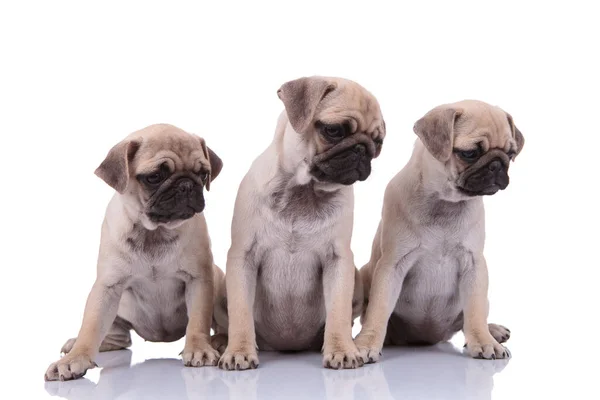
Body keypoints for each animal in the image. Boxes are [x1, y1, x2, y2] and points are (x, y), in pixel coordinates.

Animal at [44, 124, 223, 382]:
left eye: (202, 174)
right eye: (154, 177)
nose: (187, 185)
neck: (154, 231)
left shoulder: (199, 280)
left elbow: (198, 321)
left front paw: (199, 348)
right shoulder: (107, 287)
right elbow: (91, 326)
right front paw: (75, 358)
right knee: (117, 338)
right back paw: (77, 344)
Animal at [213, 76, 386, 370]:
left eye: (379, 142)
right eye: (334, 130)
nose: (363, 149)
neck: (303, 191)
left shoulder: (339, 262)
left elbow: (338, 312)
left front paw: (341, 349)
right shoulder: (242, 258)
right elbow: (240, 313)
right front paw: (238, 351)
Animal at [356, 101, 524, 362]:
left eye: (510, 153)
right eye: (469, 153)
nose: (498, 164)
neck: (445, 202)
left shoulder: (474, 266)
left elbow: (475, 311)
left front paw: (484, 341)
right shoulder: (391, 266)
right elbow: (378, 309)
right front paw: (366, 343)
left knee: (470, 319)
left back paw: (492, 330)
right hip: (365, 273)